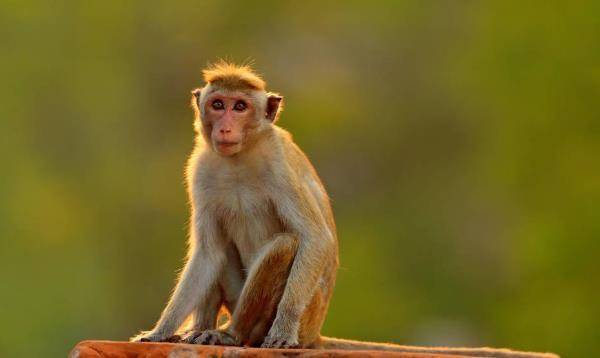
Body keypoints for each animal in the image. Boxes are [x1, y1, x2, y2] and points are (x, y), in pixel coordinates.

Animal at [130, 61, 556, 358]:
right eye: (217, 105)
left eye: (239, 106)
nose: (225, 128)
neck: (240, 157)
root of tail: (315, 333)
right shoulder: (200, 171)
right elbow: (208, 252)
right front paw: (159, 331)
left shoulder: (278, 165)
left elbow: (313, 238)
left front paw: (280, 332)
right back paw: (201, 328)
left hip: (300, 314)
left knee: (285, 244)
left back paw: (233, 334)